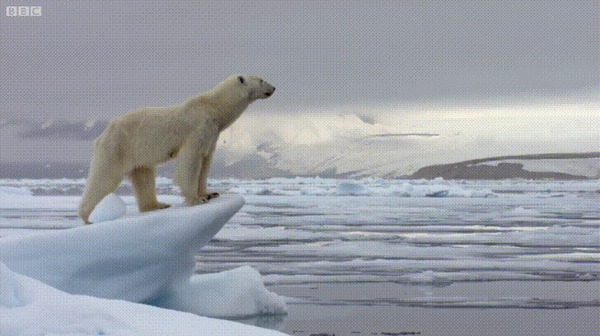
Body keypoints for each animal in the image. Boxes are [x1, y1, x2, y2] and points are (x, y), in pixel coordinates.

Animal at [78, 75, 276, 224]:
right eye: (261, 79)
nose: (274, 87)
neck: (213, 108)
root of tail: (102, 134)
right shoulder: (197, 129)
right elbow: (191, 161)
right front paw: (197, 199)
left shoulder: (212, 135)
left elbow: (205, 162)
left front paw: (209, 193)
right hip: (118, 147)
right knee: (104, 177)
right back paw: (88, 216)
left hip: (138, 154)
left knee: (144, 177)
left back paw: (157, 205)